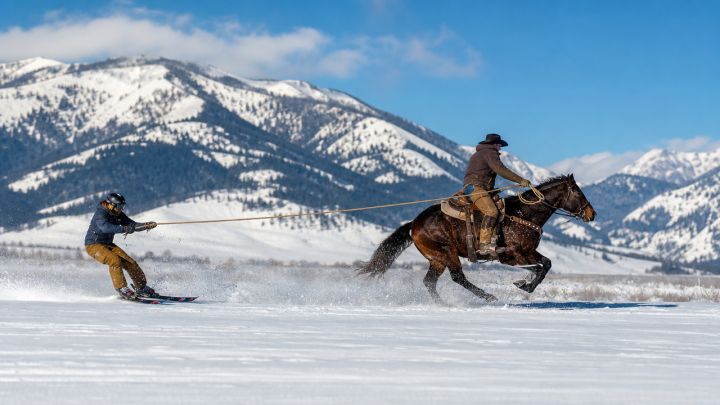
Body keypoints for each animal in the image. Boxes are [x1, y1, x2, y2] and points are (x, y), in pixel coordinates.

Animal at [357, 174, 596, 303]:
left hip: (437, 259)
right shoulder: (513, 255)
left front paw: (525, 283)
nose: (592, 214)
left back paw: (443, 304)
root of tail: (414, 224)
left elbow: (545, 264)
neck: (525, 214)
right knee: (457, 278)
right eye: (578, 192)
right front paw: (523, 284)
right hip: (447, 253)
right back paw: (487, 297)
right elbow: (539, 267)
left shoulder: (527, 252)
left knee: (430, 282)